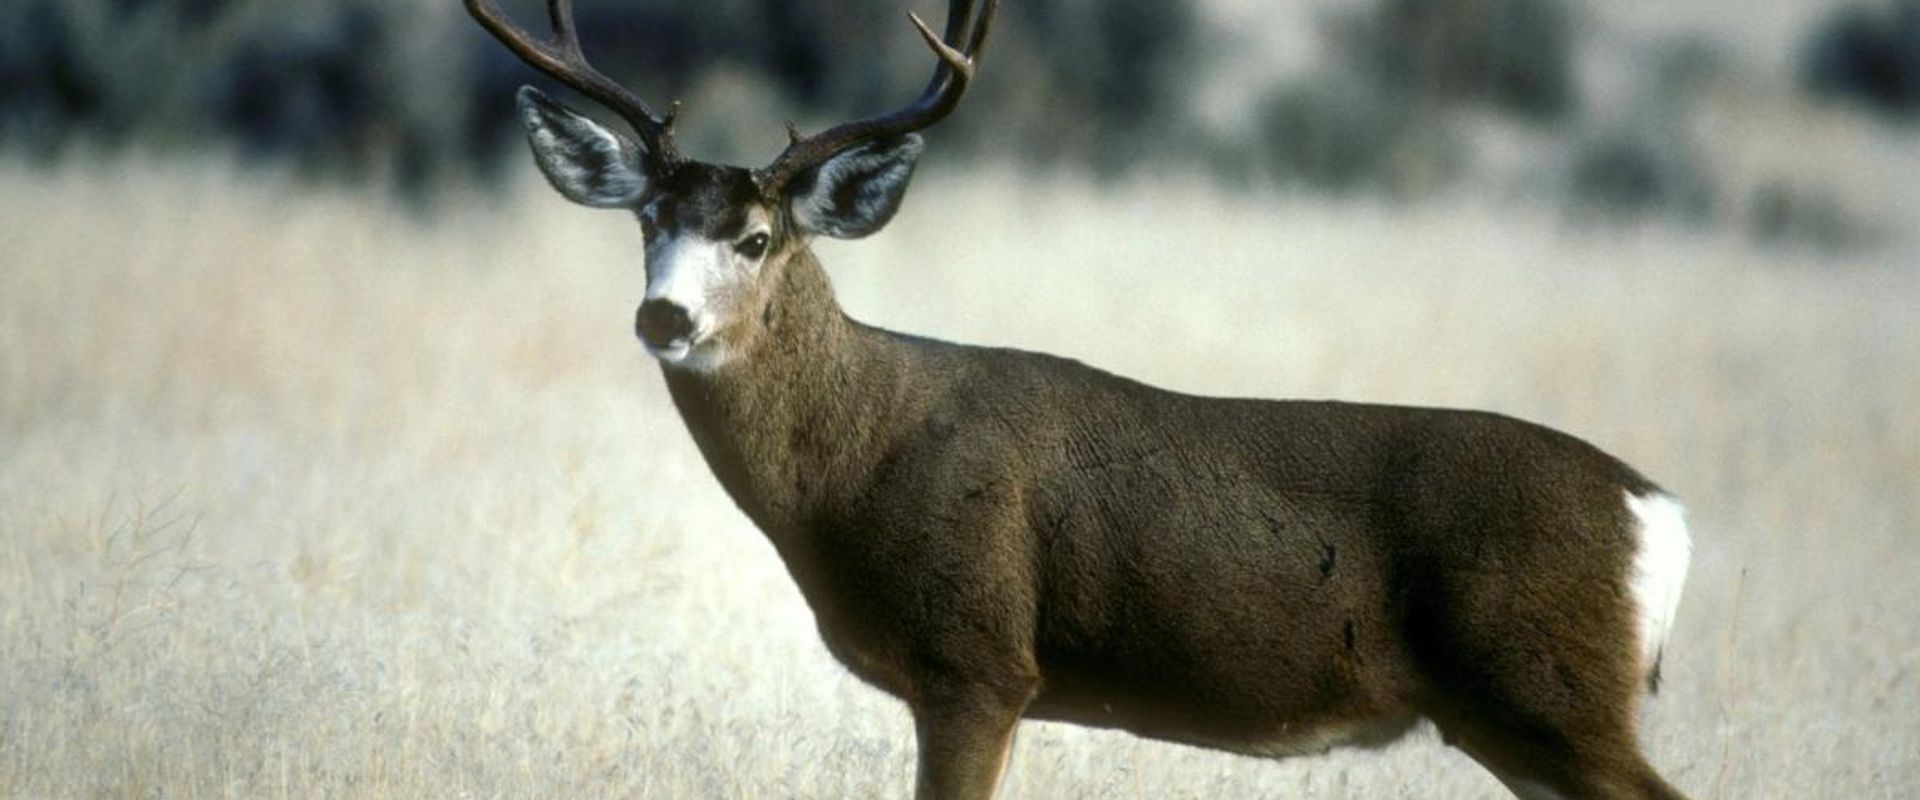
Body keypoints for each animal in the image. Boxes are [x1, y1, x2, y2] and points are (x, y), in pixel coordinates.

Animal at [464, 1, 1695, 797]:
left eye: (758, 238)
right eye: (648, 222)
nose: (663, 317)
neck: (858, 458)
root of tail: (1661, 513)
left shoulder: (978, 658)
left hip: (1548, 691)